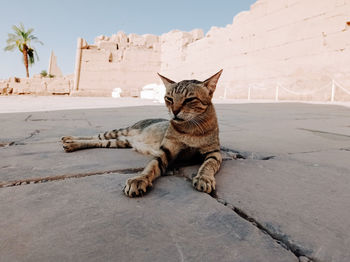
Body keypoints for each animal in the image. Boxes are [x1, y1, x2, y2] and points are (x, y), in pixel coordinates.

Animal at [61, 69, 223, 196]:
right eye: (169, 99)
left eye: (189, 99)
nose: (174, 111)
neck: (189, 128)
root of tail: (131, 137)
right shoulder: (166, 151)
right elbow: (151, 166)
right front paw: (139, 179)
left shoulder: (214, 152)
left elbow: (208, 165)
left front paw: (204, 178)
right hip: (119, 132)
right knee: (96, 136)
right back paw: (70, 140)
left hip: (120, 142)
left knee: (99, 142)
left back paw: (71, 143)